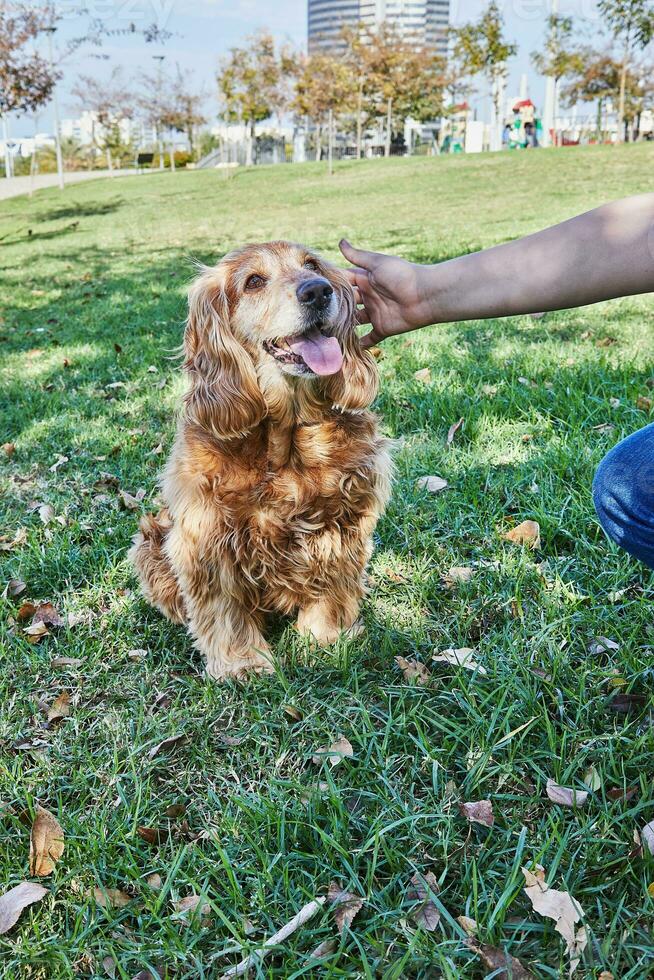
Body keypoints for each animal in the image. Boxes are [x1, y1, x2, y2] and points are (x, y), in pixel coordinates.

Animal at [131, 241, 392, 676]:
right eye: (253, 281)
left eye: (312, 265)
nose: (318, 291)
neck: (285, 439)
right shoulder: (209, 537)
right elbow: (225, 610)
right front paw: (243, 663)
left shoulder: (343, 521)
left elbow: (332, 585)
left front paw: (326, 639)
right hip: (150, 542)